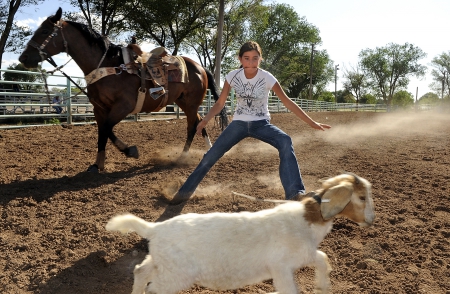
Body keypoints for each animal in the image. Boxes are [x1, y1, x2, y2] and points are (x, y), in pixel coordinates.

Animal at [18, 7, 227, 172]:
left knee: (192, 126)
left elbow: (107, 129)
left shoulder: (123, 106)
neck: (109, 67)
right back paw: (207, 149)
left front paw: (130, 151)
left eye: (45, 30)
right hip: (183, 102)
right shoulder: (99, 109)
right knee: (199, 122)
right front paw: (97, 165)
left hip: (191, 103)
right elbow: (102, 133)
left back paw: (182, 157)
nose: (23, 58)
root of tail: (200, 67)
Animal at [106, 172, 376, 294]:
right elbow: (290, 289)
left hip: (162, 262)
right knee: (153, 288)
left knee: (140, 271)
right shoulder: (281, 267)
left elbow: (322, 258)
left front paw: (323, 286)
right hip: (176, 275)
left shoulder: (304, 255)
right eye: (362, 197)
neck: (306, 220)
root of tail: (155, 228)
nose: (372, 220)